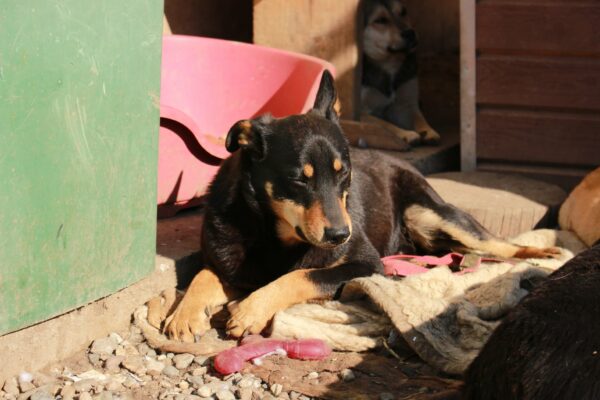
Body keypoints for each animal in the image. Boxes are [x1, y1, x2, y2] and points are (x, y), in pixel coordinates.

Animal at [360, 0, 440, 145]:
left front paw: (428, 131)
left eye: (403, 12)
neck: (389, 64)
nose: (410, 33)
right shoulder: (360, 111)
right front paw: (406, 133)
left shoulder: (405, 104)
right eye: (381, 20)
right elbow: (383, 124)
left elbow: (419, 118)